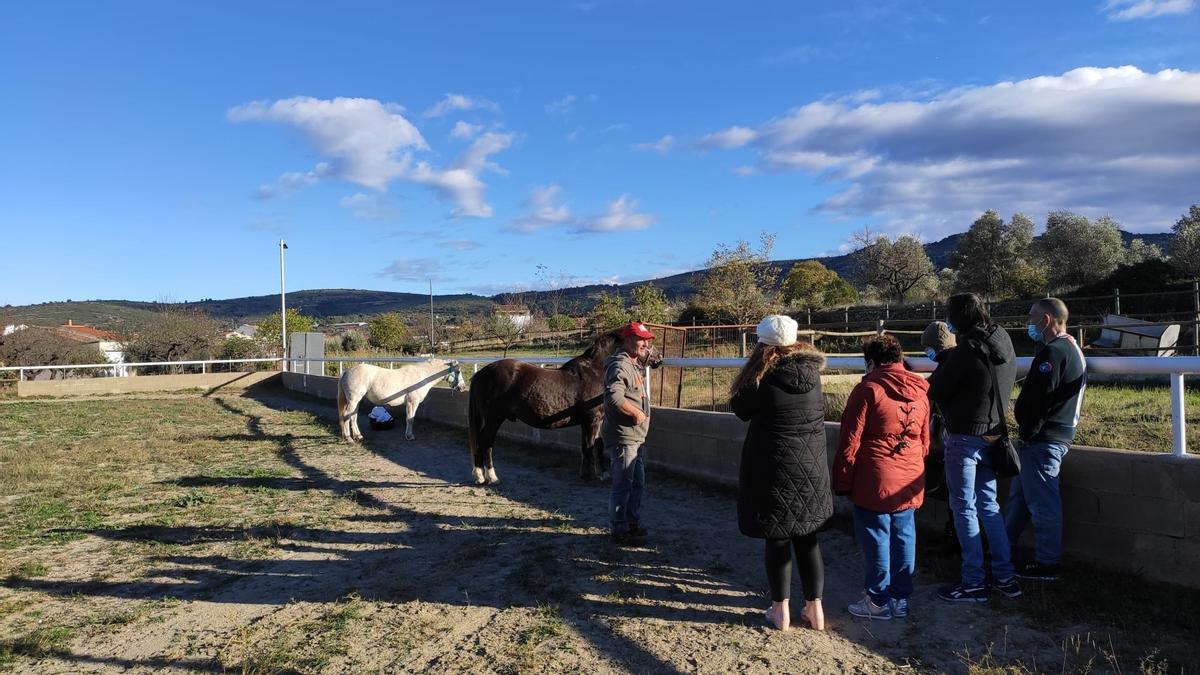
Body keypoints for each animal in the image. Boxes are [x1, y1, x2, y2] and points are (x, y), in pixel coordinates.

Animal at [465, 326, 657, 480]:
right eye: (645, 343)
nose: (659, 357)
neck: (596, 371)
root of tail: (482, 373)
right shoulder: (592, 420)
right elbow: (590, 447)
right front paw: (590, 476)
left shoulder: (591, 422)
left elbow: (593, 445)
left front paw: (597, 473)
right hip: (494, 418)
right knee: (485, 442)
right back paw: (489, 476)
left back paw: (481, 475)